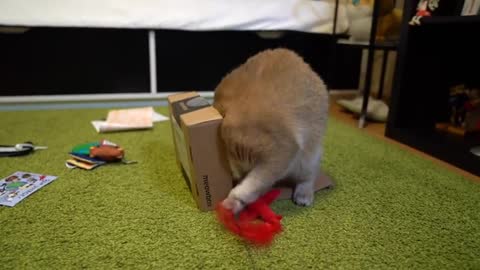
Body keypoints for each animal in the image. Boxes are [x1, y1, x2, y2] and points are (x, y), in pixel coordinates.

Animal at [214, 47, 330, 214]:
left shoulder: (279, 153)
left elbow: (251, 185)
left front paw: (233, 202)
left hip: (307, 158)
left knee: (308, 177)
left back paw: (303, 195)